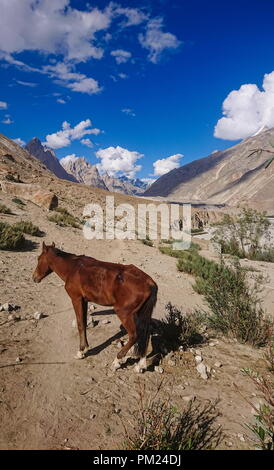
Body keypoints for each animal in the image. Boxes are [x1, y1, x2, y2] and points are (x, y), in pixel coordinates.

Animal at [32, 242, 157, 370]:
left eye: (38, 259)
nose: (34, 277)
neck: (73, 268)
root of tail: (149, 282)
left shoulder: (76, 299)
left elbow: (80, 324)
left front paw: (80, 352)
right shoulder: (84, 300)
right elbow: (83, 323)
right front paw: (85, 348)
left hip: (123, 313)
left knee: (134, 335)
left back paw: (117, 361)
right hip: (140, 313)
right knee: (145, 333)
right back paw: (141, 363)